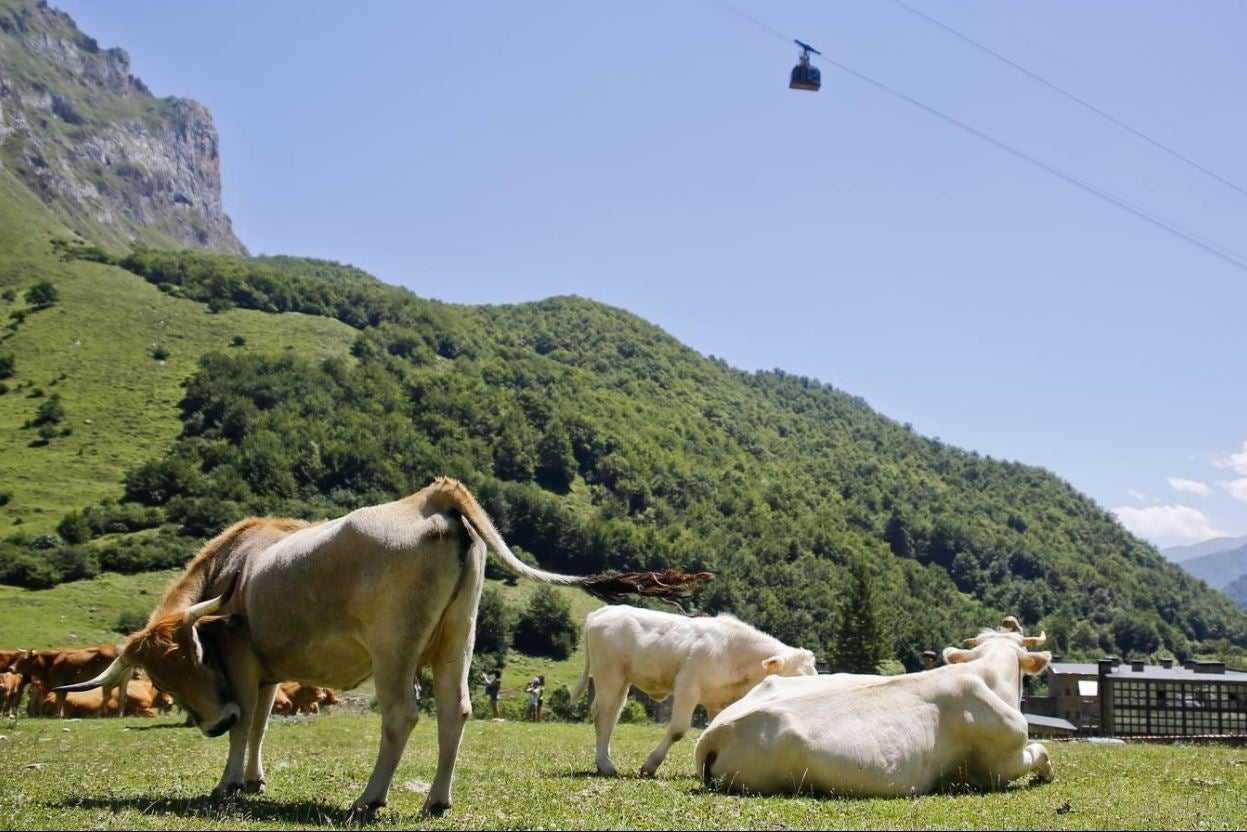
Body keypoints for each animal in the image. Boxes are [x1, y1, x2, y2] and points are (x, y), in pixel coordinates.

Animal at [60, 478, 713, 818]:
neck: (237, 566)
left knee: (401, 715)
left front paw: (227, 783)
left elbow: (249, 723)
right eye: (162, 678)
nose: (211, 721)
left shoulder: (243, 657)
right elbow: (262, 722)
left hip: (393, 647)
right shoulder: (268, 669)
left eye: (186, 663)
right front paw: (252, 780)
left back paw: (369, 799)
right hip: (457, 639)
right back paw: (437, 802)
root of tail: (432, 497)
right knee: (456, 711)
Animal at [571, 608, 818, 778]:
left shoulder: (717, 702)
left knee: (612, 716)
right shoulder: (687, 686)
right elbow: (679, 730)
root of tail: (601, 612)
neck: (735, 654)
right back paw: (605, 765)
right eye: (798, 678)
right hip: (608, 675)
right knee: (603, 715)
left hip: (622, 681)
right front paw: (650, 765)